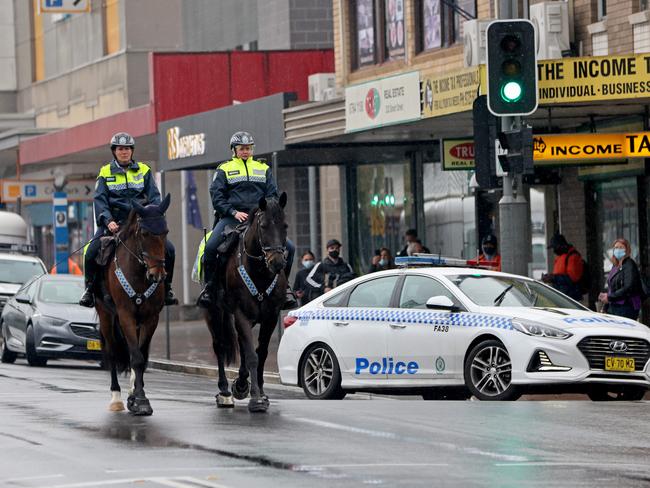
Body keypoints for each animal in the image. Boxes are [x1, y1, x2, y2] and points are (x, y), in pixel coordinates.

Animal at [94, 194, 171, 416]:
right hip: (107, 316)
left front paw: (137, 397)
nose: (157, 275)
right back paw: (116, 398)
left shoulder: (150, 318)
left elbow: (140, 357)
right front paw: (141, 400)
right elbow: (135, 357)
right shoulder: (126, 314)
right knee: (112, 352)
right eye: (144, 233)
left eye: (165, 232)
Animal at [204, 193, 288, 414]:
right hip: (214, 314)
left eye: (284, 225)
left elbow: (261, 353)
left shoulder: (270, 316)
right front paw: (256, 398)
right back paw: (225, 392)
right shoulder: (241, 313)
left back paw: (240, 385)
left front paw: (258, 392)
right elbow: (251, 355)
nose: (277, 262)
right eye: (264, 226)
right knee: (219, 346)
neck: (259, 272)